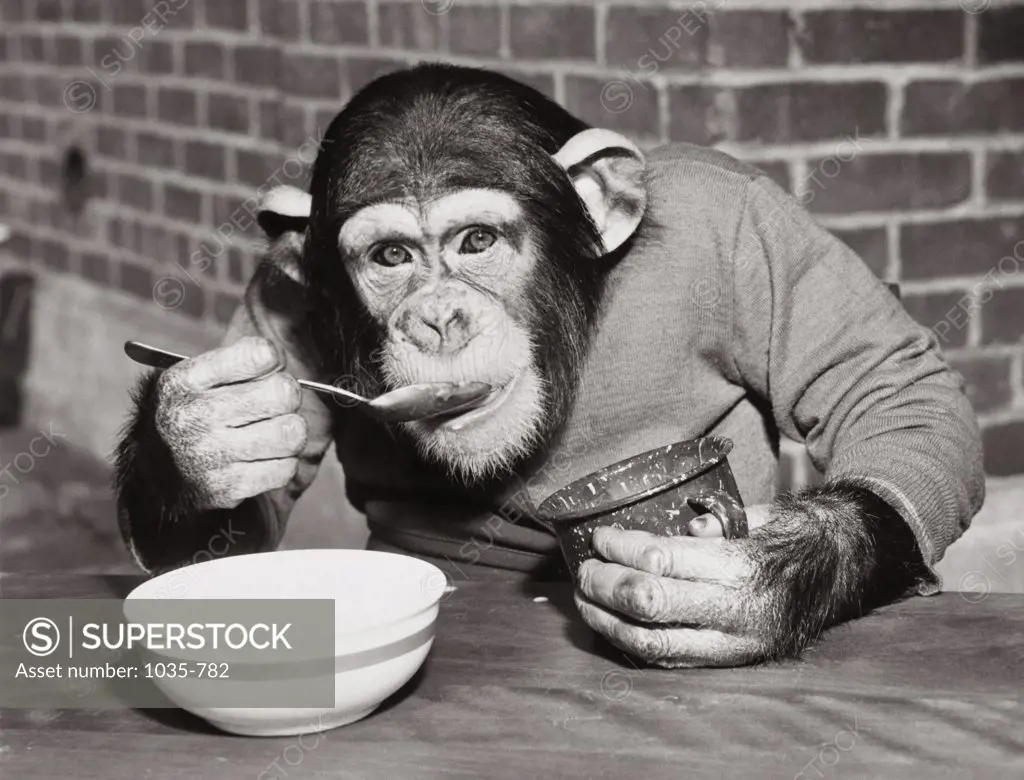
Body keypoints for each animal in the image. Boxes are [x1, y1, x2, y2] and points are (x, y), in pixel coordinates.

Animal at [116, 63, 987, 667]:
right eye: (391, 256)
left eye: (476, 242)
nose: (438, 317)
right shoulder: (275, 296)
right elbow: (247, 530)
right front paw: (199, 437)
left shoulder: (743, 218)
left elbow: (892, 387)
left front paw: (754, 587)